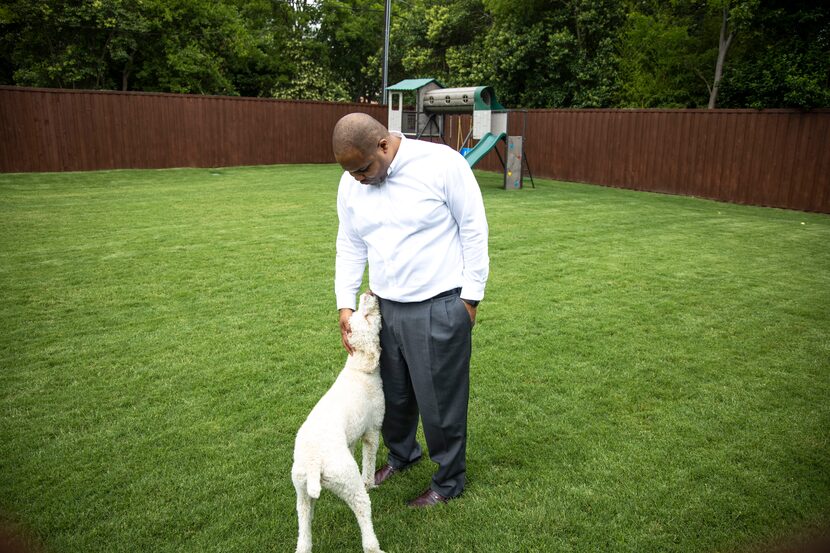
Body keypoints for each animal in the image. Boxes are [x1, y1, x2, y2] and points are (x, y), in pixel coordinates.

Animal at [292, 292, 386, 548]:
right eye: (367, 317)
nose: (369, 293)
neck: (358, 368)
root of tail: (314, 462)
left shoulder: (351, 437)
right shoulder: (372, 429)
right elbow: (369, 460)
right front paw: (371, 482)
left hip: (301, 490)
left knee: (304, 530)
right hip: (346, 478)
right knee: (362, 508)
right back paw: (374, 545)